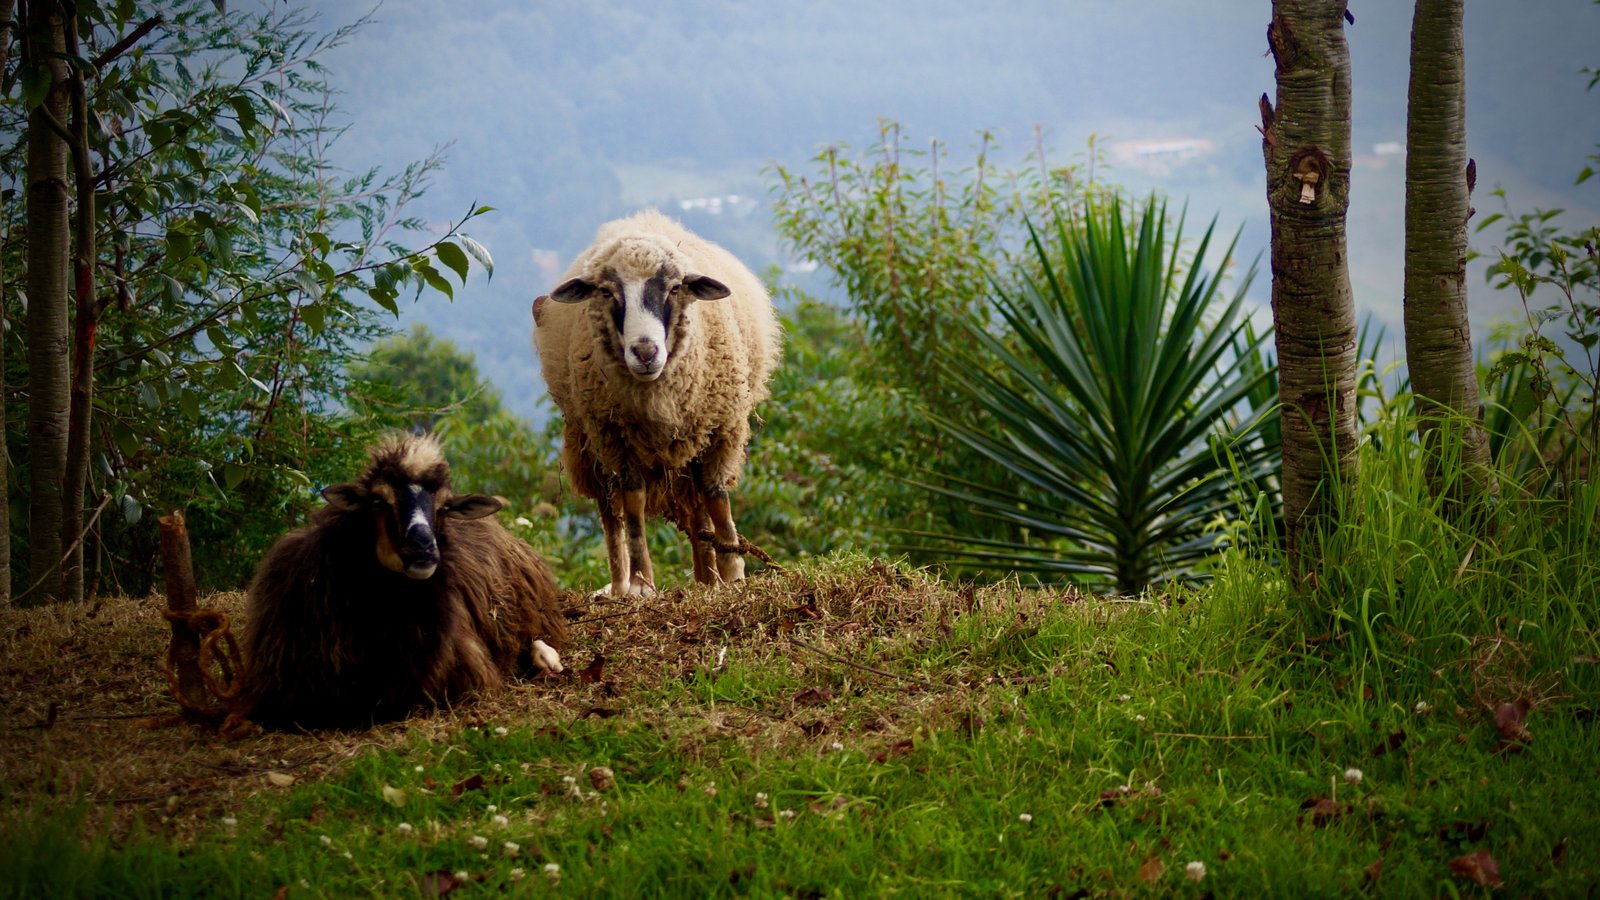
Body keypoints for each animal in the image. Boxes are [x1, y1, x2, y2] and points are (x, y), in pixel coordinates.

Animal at [532, 210, 781, 597]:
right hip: (591, 443)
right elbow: (633, 505)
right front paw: (641, 581)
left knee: (698, 506)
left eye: (675, 288)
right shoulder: (617, 438)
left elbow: (717, 497)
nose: (646, 351)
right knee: (613, 513)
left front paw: (733, 572)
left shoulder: (722, 427)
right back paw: (627, 583)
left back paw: (709, 575)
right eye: (606, 291)